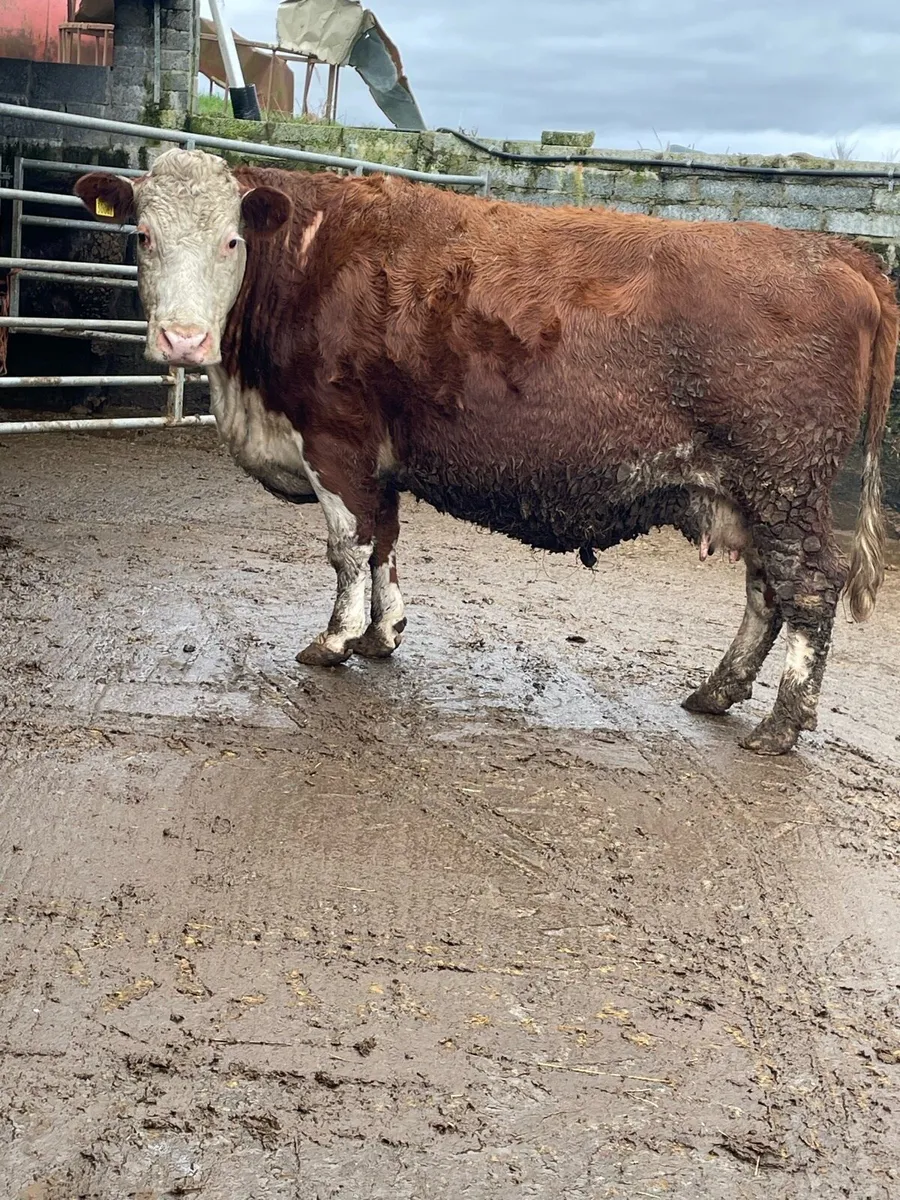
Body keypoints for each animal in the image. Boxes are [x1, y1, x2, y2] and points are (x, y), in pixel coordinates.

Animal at [75, 149, 898, 755]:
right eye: (143, 236)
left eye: (231, 240)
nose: (184, 339)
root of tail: (837, 252)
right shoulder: (380, 458)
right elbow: (385, 543)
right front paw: (381, 635)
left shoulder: (334, 437)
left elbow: (347, 548)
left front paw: (335, 640)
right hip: (753, 492)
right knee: (766, 590)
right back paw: (717, 692)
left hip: (784, 481)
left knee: (809, 588)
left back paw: (781, 724)